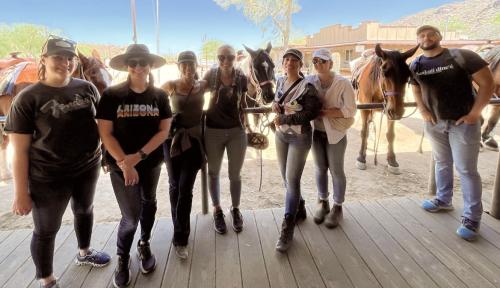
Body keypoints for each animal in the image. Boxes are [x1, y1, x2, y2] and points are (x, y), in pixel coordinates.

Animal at [352, 42, 418, 173]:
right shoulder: (365, 109)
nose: (398, 111)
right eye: (384, 72)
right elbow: (364, 132)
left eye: (408, 75)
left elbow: (390, 135)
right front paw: (361, 157)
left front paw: (392, 160)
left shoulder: (389, 111)